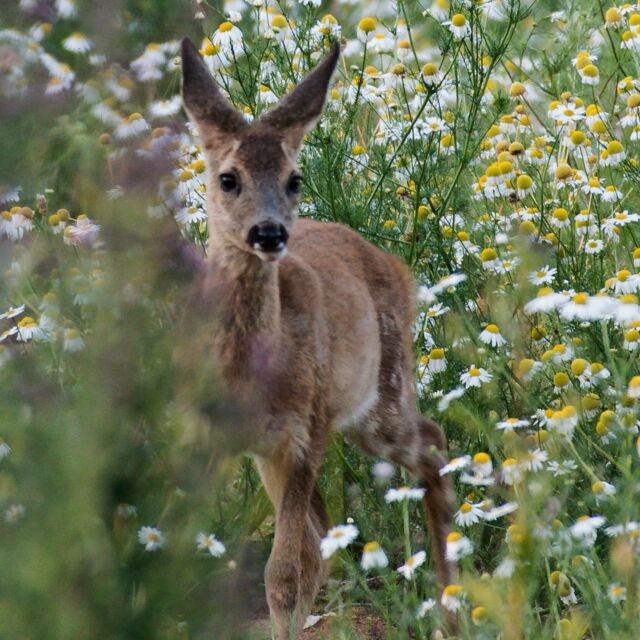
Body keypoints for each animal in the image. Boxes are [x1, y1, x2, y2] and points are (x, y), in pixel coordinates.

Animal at [180, 38, 456, 636]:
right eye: (228, 178)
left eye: (294, 179)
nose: (269, 232)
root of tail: (393, 263)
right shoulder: (206, 438)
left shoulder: (305, 432)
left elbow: (285, 575)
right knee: (327, 540)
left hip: (379, 397)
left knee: (431, 441)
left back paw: (451, 604)